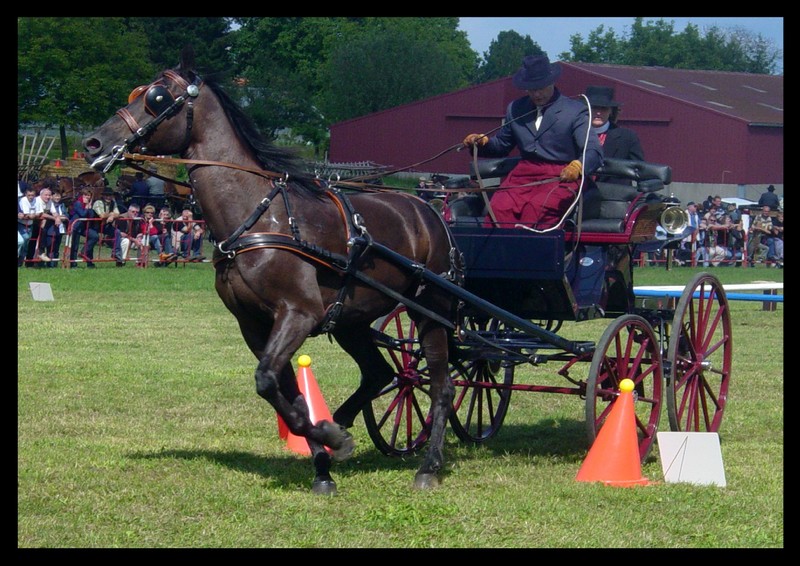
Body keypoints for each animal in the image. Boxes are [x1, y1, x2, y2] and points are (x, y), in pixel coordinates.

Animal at [83, 46, 460, 494]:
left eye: (157, 98)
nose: (93, 143)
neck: (255, 215)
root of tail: (428, 210)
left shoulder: (297, 313)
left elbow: (266, 379)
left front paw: (331, 441)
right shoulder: (254, 324)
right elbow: (285, 391)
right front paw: (324, 460)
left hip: (430, 309)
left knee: (440, 384)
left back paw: (428, 465)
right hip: (351, 320)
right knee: (380, 372)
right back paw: (341, 425)